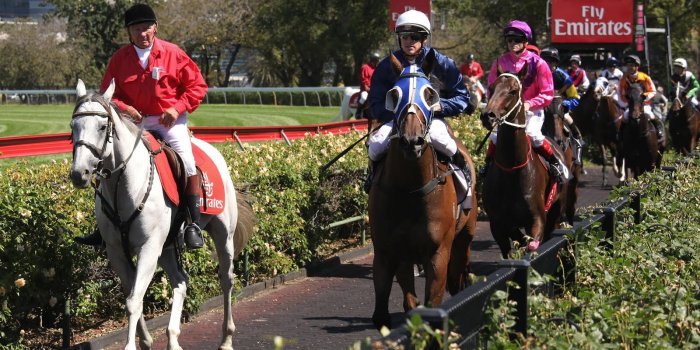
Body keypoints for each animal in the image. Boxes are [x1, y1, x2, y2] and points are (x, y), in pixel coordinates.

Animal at [67, 80, 254, 350]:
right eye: (73, 127)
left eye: (102, 127)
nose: (79, 173)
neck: (125, 186)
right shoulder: (117, 251)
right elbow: (131, 295)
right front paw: (145, 341)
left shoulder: (148, 247)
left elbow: (133, 300)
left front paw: (132, 345)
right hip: (166, 247)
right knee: (181, 280)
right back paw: (173, 337)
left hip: (222, 234)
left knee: (226, 279)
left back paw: (226, 338)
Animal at [366, 53, 476, 330]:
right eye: (394, 94)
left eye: (430, 94)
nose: (411, 140)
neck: (410, 190)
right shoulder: (388, 251)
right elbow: (391, 308)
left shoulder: (438, 252)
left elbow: (433, 302)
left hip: (464, 237)